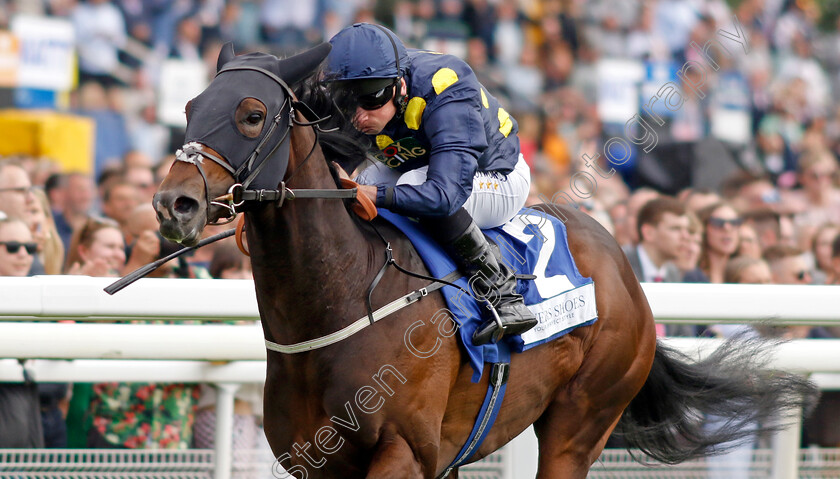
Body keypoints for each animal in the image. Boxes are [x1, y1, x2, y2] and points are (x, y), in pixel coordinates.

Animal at [154, 43, 816, 478]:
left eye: (252, 115)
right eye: (188, 107)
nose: (173, 203)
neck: (338, 299)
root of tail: (622, 264)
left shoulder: (404, 451)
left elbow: (442, 192)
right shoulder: (312, 461)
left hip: (581, 421)